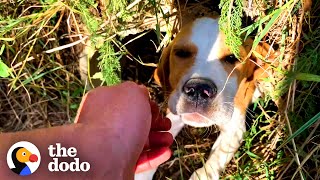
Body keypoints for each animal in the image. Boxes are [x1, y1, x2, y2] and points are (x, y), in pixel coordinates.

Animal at [134, 16, 276, 179]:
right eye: (182, 53)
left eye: (232, 57)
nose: (198, 90)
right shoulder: (175, 112)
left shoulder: (234, 128)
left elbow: (218, 157)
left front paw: (203, 174)